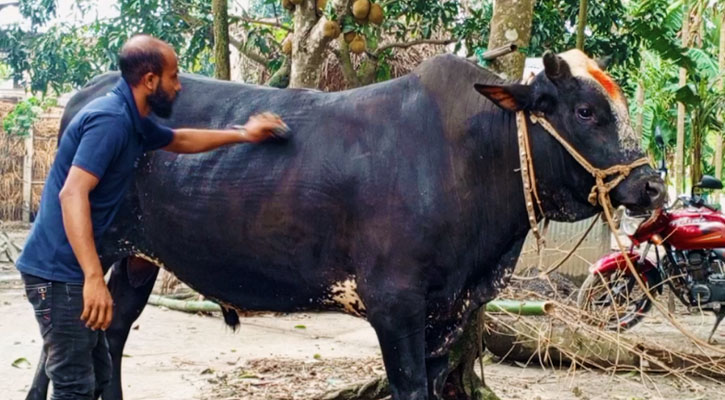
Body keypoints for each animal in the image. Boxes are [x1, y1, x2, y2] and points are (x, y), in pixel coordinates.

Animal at [39, 54, 660, 400]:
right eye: (584, 111)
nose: (653, 187)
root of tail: (88, 93)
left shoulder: (449, 311)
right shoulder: (394, 303)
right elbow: (409, 387)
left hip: (138, 260)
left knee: (110, 335)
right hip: (87, 249)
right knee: (63, 345)